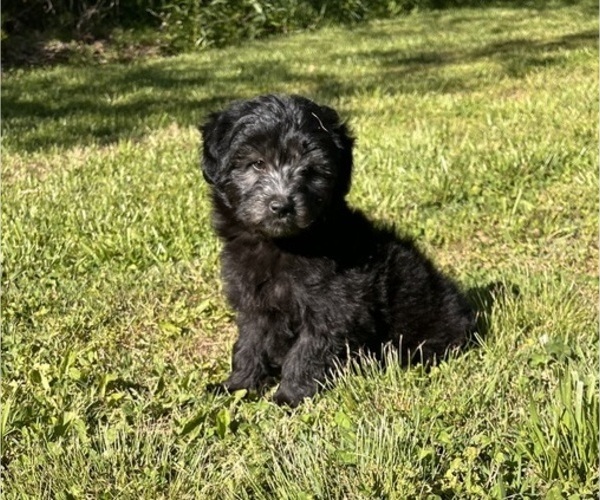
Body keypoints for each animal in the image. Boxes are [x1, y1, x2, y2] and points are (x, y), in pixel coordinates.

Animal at [200, 94, 474, 406]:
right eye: (257, 163)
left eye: (310, 171)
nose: (282, 206)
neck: (284, 244)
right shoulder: (254, 304)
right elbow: (249, 344)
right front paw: (238, 385)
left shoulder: (334, 305)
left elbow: (306, 352)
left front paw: (287, 397)